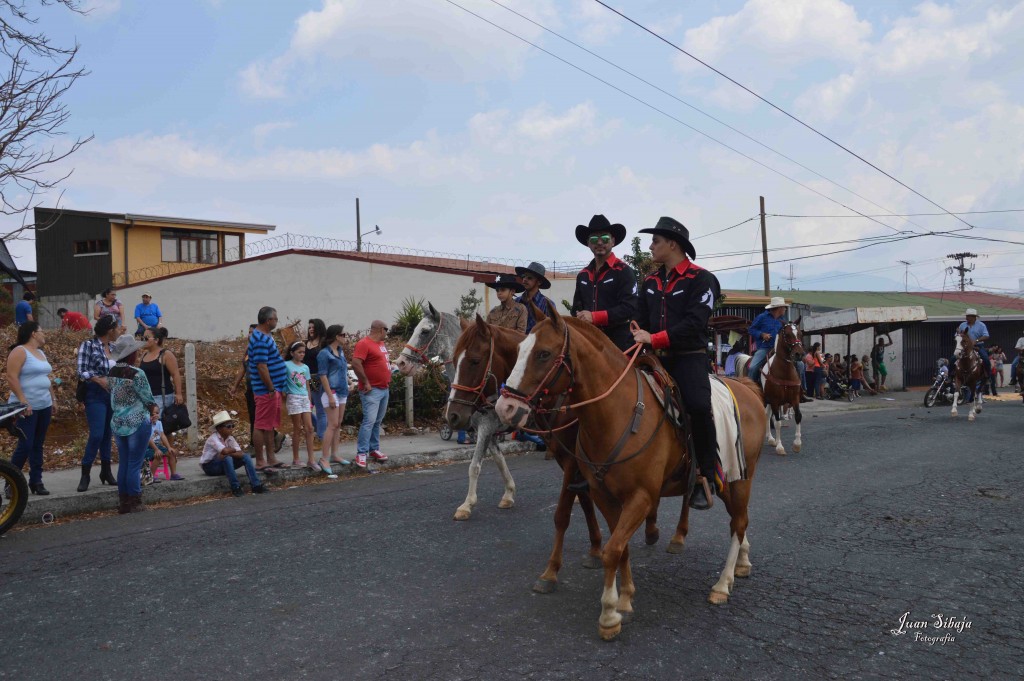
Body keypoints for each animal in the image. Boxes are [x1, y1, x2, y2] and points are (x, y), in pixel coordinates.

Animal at [442, 315, 606, 581]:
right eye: (455, 361)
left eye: (475, 361)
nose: (453, 416)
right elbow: (497, 460)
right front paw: (508, 494)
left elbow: (475, 466)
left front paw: (467, 504)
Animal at [491, 305, 765, 639]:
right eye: (519, 350)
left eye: (543, 354)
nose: (504, 407)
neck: (617, 413)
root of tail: (747, 388)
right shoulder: (604, 496)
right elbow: (618, 548)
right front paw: (625, 598)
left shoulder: (642, 498)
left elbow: (611, 550)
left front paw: (609, 614)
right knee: (740, 520)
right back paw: (742, 562)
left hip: (740, 479)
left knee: (738, 523)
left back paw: (722, 584)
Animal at [757, 321, 802, 454]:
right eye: (787, 334)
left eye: (800, 333)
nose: (799, 354)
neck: (785, 372)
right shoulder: (775, 400)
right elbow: (778, 422)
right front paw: (780, 446)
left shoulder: (794, 398)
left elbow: (798, 416)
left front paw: (797, 444)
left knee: (767, 415)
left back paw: (771, 439)